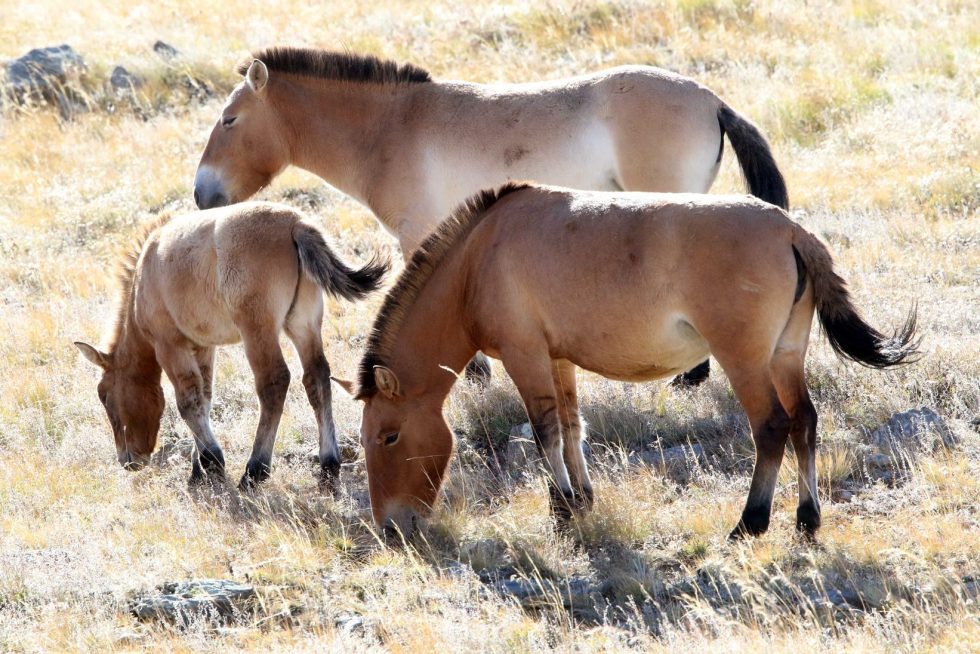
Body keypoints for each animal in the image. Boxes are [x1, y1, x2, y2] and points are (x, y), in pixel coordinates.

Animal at [75, 201, 388, 490]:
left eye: (105, 397)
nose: (126, 461)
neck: (145, 274)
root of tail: (295, 224)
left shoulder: (170, 346)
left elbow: (187, 402)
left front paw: (212, 461)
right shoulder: (203, 347)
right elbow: (204, 398)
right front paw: (198, 468)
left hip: (258, 331)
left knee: (274, 383)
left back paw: (255, 470)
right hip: (303, 324)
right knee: (317, 379)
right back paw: (328, 465)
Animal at [193, 46, 790, 387]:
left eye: (229, 119)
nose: (201, 194)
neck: (390, 129)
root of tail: (710, 100)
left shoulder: (422, 234)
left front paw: (471, 374)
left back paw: (690, 378)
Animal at [335, 183, 919, 540]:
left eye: (388, 436)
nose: (391, 527)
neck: (478, 259)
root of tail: (789, 229)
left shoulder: (526, 356)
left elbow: (545, 431)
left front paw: (562, 509)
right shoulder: (559, 359)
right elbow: (572, 425)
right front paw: (582, 499)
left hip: (746, 360)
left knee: (772, 427)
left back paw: (750, 522)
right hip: (785, 357)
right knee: (804, 422)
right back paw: (806, 519)